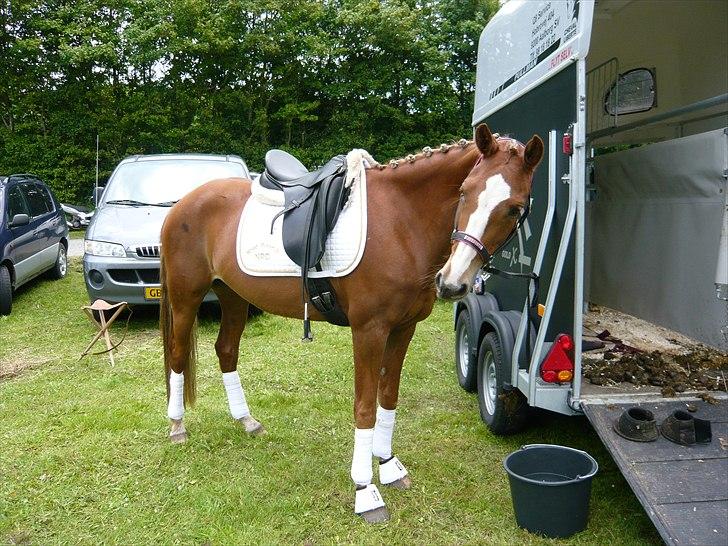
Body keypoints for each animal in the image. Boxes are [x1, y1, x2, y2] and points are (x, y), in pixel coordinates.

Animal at [162, 122, 544, 520]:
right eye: (465, 191)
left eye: (514, 209)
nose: (452, 283)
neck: (401, 221)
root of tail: (182, 205)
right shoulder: (369, 331)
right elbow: (364, 407)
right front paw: (365, 489)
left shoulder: (404, 328)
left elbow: (387, 397)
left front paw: (388, 465)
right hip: (186, 299)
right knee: (177, 354)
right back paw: (177, 426)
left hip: (234, 297)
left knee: (226, 350)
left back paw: (246, 420)